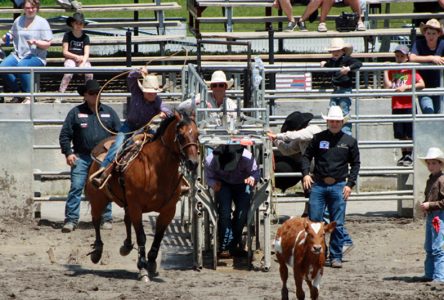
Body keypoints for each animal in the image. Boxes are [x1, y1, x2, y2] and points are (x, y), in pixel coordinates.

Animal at [84, 110, 199, 282]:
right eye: (180, 135)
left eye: (198, 134)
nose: (193, 163)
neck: (156, 170)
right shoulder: (136, 207)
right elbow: (142, 237)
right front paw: (143, 268)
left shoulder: (169, 210)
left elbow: (158, 237)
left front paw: (151, 263)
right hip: (99, 198)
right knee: (96, 220)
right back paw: (97, 252)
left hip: (126, 202)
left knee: (126, 220)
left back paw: (126, 246)